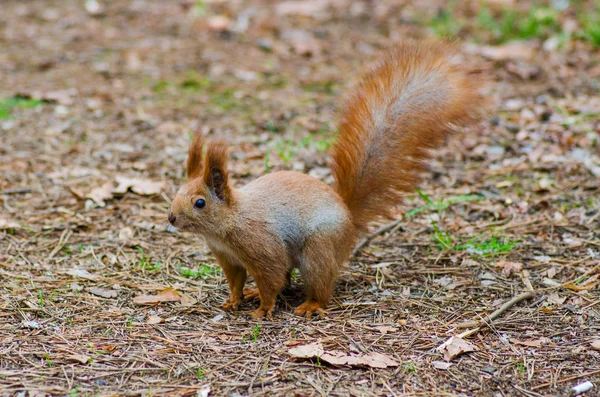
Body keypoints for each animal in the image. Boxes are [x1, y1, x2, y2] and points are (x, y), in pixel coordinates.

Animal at [166, 40, 486, 318]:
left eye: (200, 202)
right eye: (177, 191)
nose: (171, 218)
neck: (228, 223)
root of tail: (349, 218)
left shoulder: (260, 246)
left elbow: (271, 276)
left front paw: (264, 309)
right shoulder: (227, 258)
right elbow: (236, 281)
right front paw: (234, 300)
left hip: (318, 250)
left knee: (319, 286)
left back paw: (310, 304)